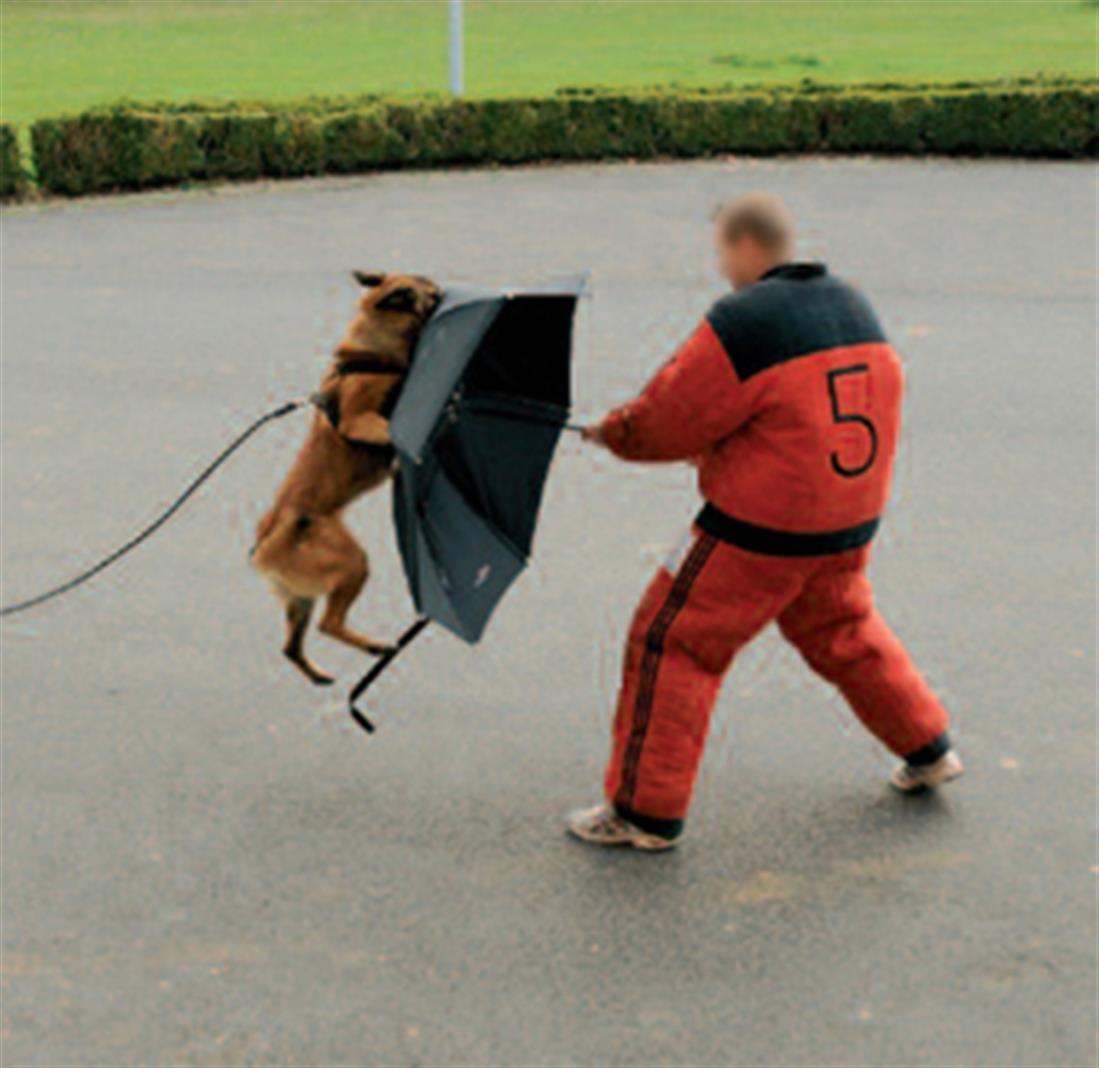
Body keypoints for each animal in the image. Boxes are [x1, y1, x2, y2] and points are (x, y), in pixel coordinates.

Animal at [252, 269, 441, 685]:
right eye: (424, 289)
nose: (442, 291)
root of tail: (268, 538)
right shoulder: (360, 419)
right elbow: (390, 429)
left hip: (300, 599)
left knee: (291, 646)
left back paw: (320, 674)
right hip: (353, 562)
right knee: (329, 623)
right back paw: (374, 646)